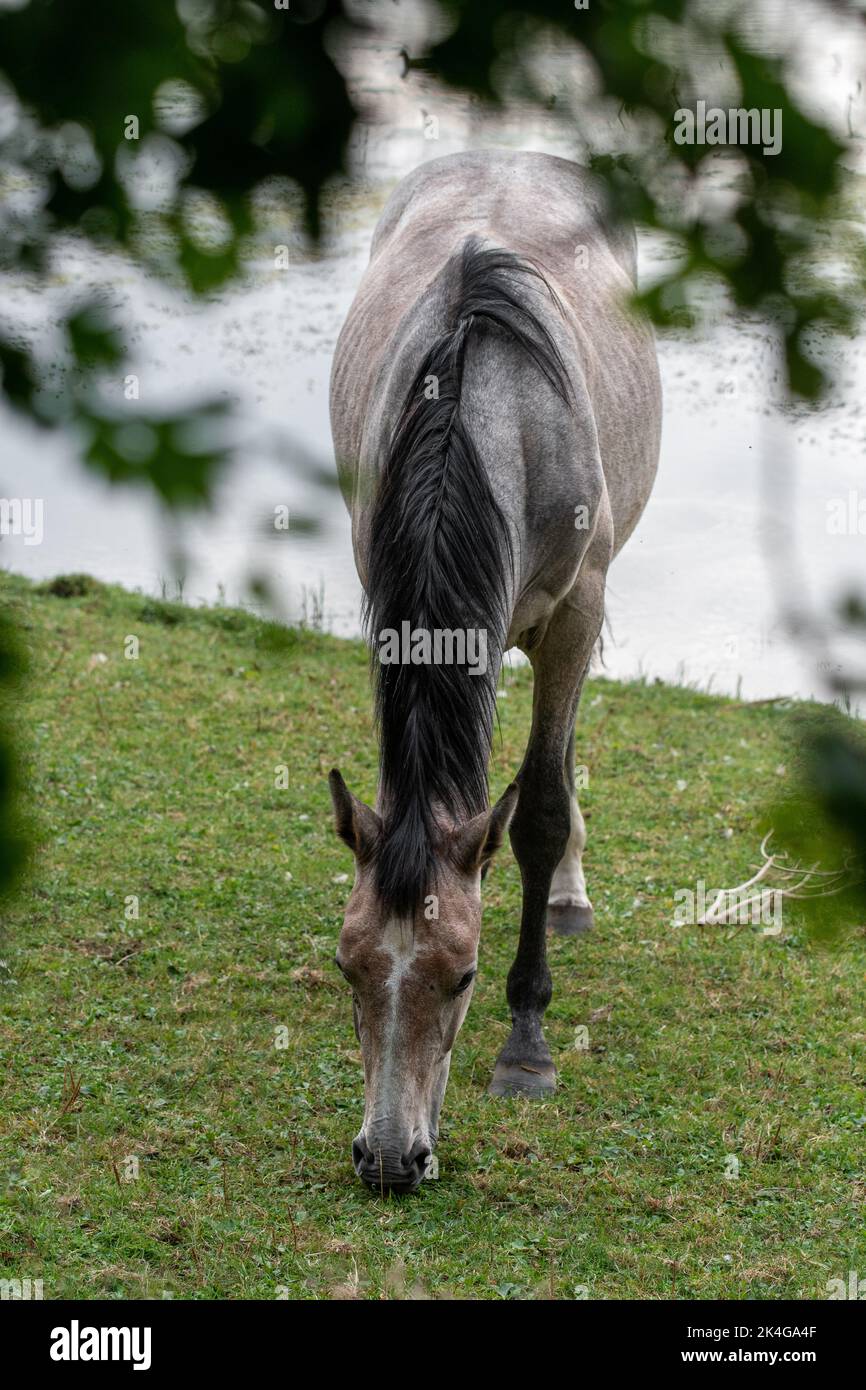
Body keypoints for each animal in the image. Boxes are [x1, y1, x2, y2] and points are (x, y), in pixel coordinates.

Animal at [328, 152, 661, 1195]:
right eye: (349, 966)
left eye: (465, 974)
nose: (390, 1158)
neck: (484, 420)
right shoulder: (383, 595)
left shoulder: (577, 609)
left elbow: (541, 807)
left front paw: (527, 1042)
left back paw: (568, 896)